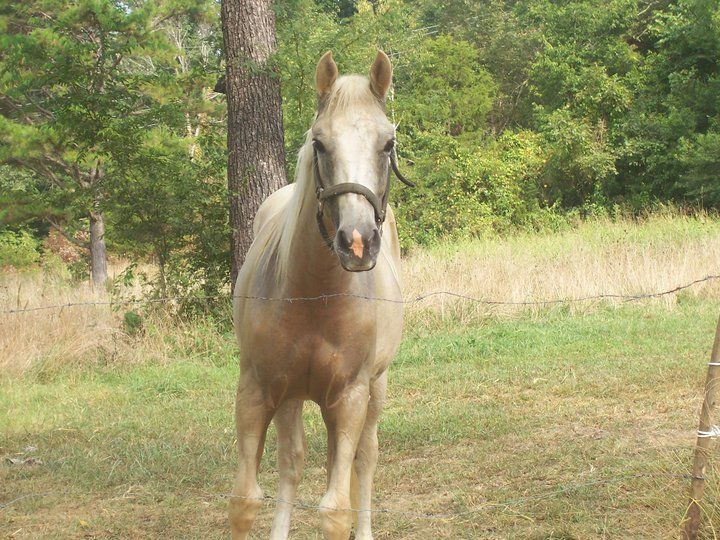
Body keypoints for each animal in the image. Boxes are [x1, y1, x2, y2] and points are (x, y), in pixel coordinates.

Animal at [231, 48, 410, 536]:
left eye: (387, 144)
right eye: (320, 143)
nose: (357, 241)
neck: (314, 297)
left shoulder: (349, 396)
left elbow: (336, 509)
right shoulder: (257, 389)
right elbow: (245, 500)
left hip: (374, 389)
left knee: (364, 461)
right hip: (293, 395)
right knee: (292, 461)